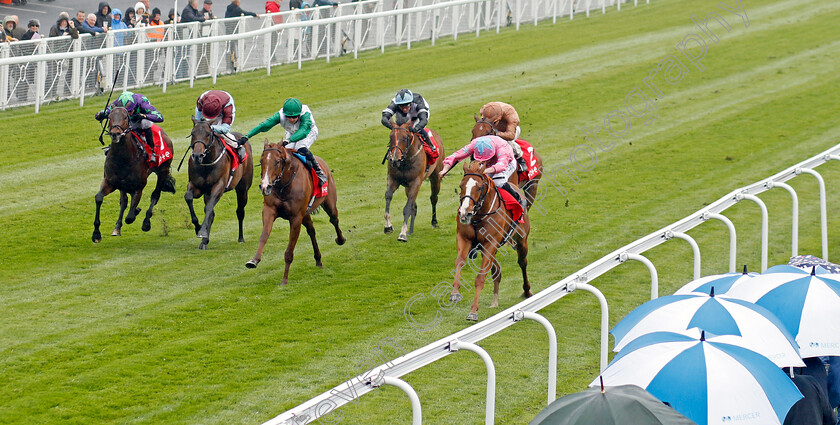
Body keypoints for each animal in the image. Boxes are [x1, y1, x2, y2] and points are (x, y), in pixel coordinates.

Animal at [92, 106, 175, 242]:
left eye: (126, 117)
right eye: (109, 117)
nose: (115, 134)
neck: (123, 159)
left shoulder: (138, 188)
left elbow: (130, 217)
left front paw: (137, 211)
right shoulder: (110, 182)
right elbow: (99, 198)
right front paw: (96, 234)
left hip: (163, 170)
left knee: (155, 195)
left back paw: (146, 222)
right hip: (123, 185)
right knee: (124, 201)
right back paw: (117, 227)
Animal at [188, 117, 256, 250]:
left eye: (208, 134)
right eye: (193, 134)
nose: (197, 155)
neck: (206, 164)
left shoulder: (218, 186)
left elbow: (209, 208)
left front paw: (202, 231)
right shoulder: (196, 186)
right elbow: (189, 197)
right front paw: (198, 228)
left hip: (243, 188)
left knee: (240, 211)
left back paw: (241, 238)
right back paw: (204, 241)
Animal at [246, 142, 344, 284]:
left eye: (277, 162)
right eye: (261, 161)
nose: (265, 186)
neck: (284, 186)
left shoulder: (296, 218)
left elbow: (289, 251)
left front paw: (284, 279)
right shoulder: (269, 210)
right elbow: (264, 235)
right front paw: (254, 260)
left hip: (329, 202)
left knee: (334, 219)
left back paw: (340, 240)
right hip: (306, 214)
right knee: (311, 231)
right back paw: (318, 260)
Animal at [446, 161, 532, 320]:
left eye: (479, 187)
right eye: (461, 186)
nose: (464, 212)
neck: (478, 215)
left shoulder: (490, 244)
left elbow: (480, 278)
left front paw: (473, 311)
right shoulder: (465, 239)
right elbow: (459, 262)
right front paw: (455, 293)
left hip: (521, 240)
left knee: (522, 262)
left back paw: (526, 290)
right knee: (496, 270)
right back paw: (495, 301)